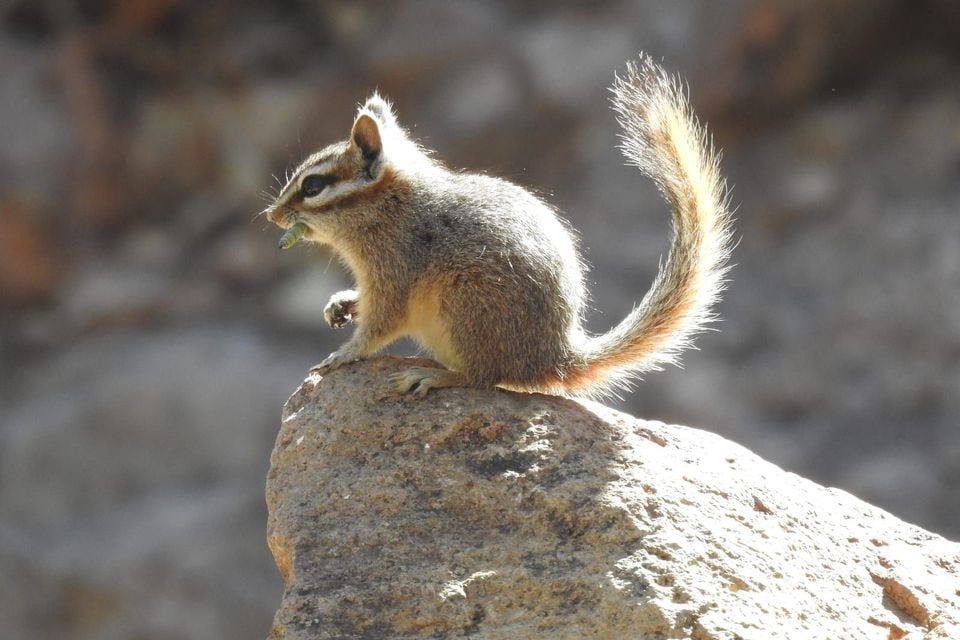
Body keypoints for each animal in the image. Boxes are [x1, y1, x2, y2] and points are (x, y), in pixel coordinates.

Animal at [264, 54, 732, 398]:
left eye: (313, 185)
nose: (272, 215)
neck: (389, 208)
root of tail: (553, 357)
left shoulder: (394, 271)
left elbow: (381, 324)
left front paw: (345, 354)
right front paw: (341, 304)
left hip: (464, 306)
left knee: (484, 377)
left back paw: (436, 376)